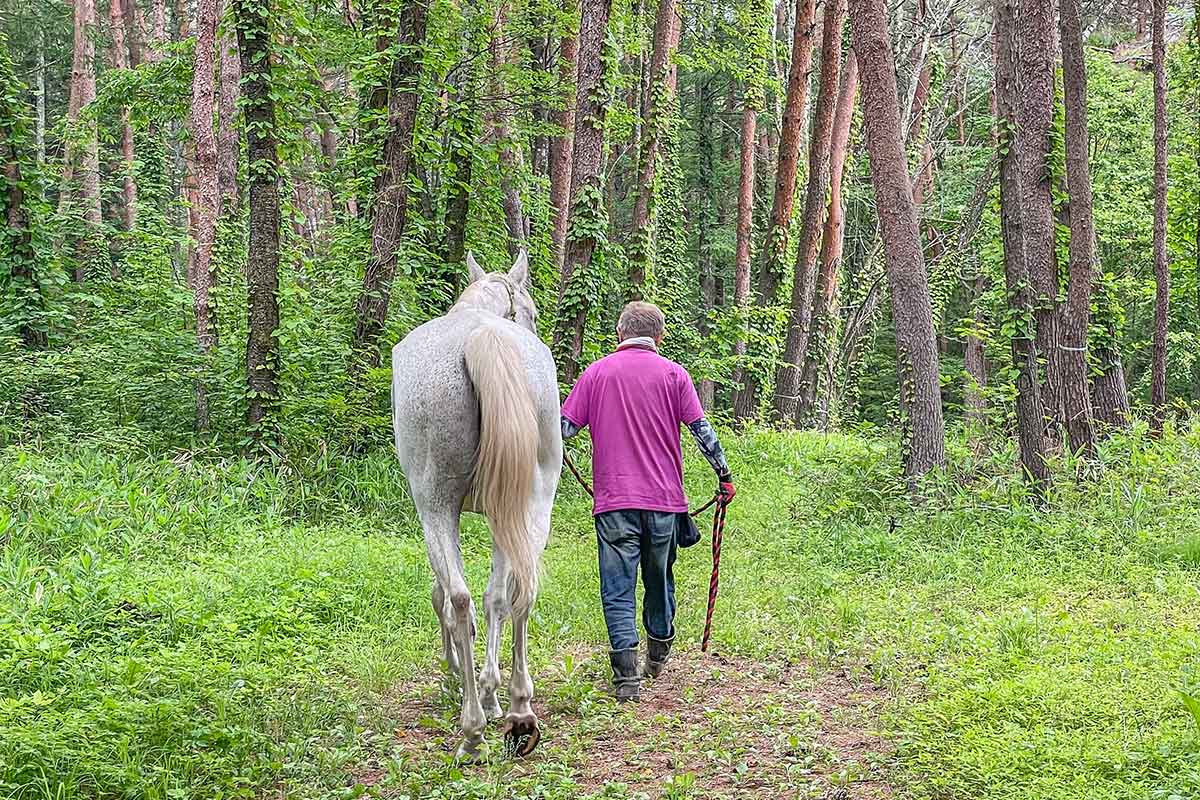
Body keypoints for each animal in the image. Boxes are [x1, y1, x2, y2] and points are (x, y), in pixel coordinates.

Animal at [391, 248, 564, 758]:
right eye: (533, 312)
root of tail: (481, 337)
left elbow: (442, 597)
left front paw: (460, 678)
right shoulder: (502, 513)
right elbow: (499, 599)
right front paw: (492, 692)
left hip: (434, 507)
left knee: (460, 598)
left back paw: (471, 730)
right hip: (531, 503)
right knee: (518, 591)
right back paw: (520, 710)